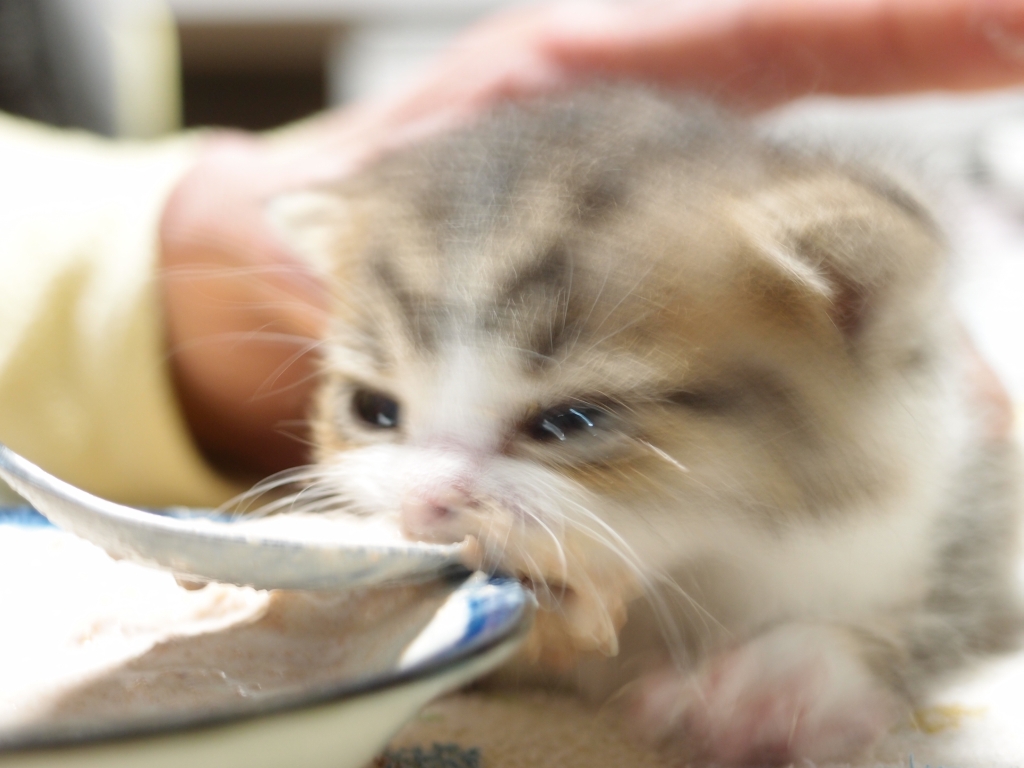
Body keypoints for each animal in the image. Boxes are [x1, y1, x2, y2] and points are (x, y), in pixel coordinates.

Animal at [268, 87, 1019, 765]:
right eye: (374, 409)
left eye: (571, 420)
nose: (424, 504)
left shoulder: (954, 500)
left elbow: (930, 601)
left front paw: (778, 682)